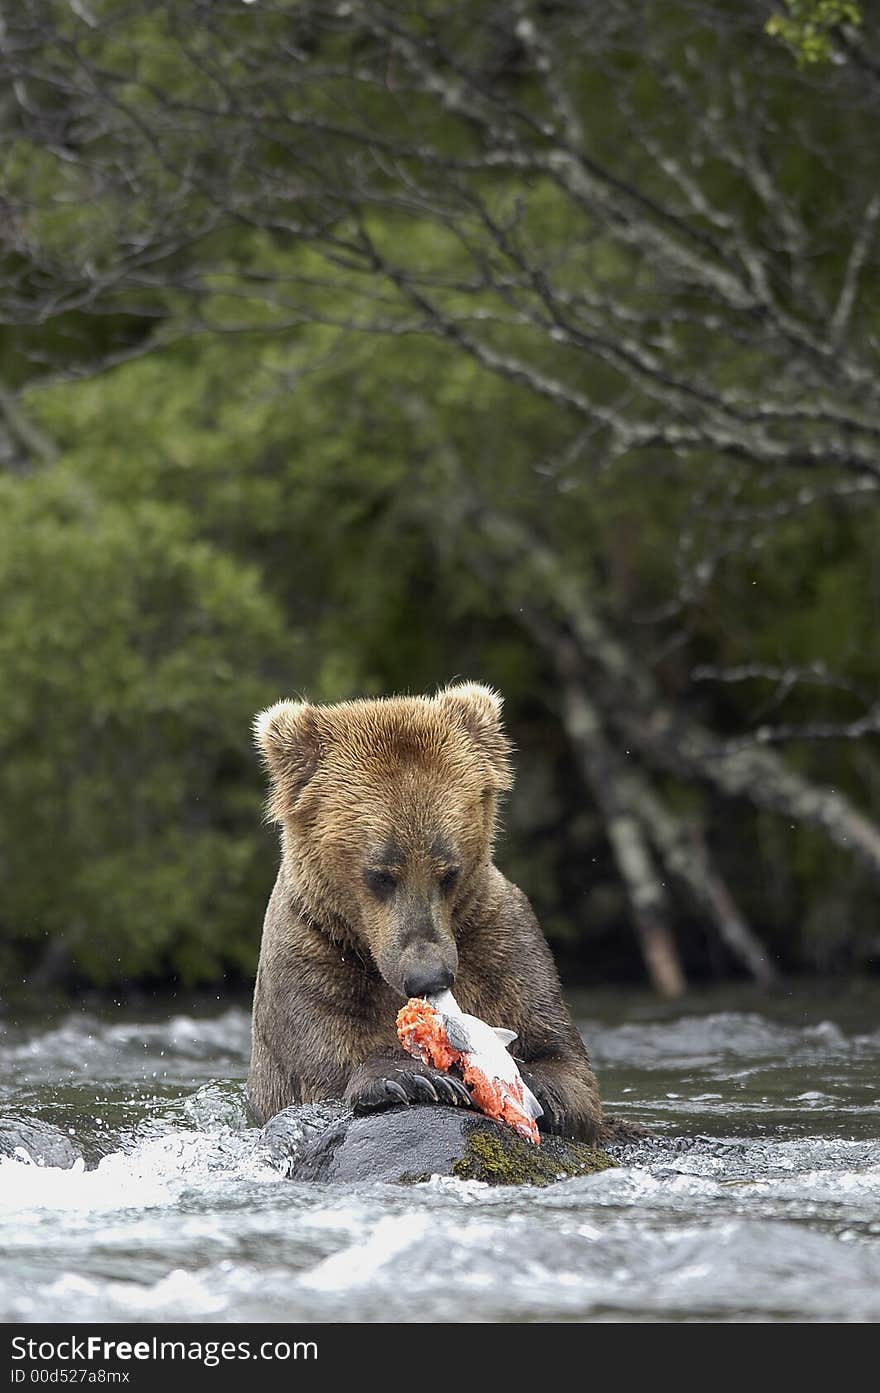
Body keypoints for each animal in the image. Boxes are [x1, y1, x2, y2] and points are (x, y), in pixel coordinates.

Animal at [246, 682, 604, 1142]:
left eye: (449, 872)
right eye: (380, 875)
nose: (427, 977)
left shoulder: (498, 940)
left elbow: (563, 1058)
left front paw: (526, 1076)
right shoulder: (310, 949)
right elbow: (324, 1061)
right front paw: (411, 1078)